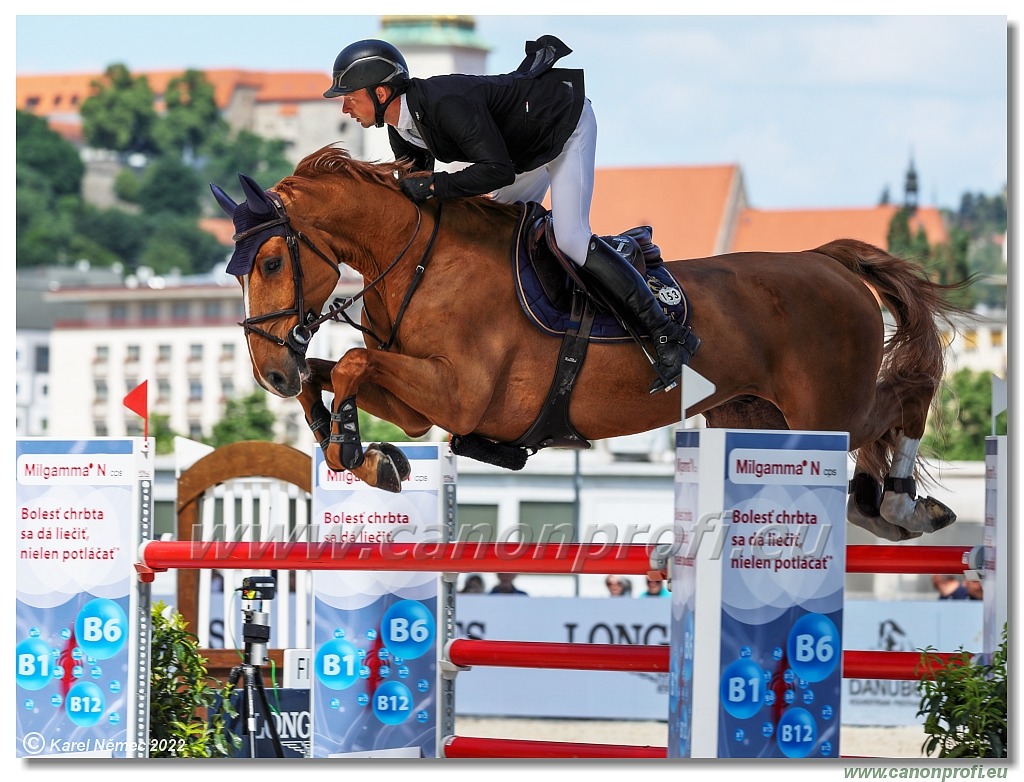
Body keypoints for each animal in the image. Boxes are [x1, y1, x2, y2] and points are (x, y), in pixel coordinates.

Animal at [209, 143, 966, 540]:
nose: (269, 372)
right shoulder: (424, 405)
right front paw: (360, 452)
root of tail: (828, 261)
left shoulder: (460, 396)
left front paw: (356, 447)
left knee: (906, 397)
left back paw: (901, 501)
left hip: (828, 412)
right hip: (759, 418)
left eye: (270, 263)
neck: (420, 259)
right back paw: (880, 507)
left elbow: (354, 362)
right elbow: (337, 371)